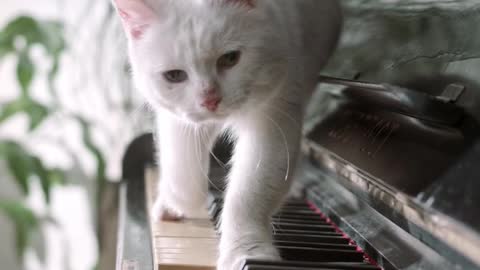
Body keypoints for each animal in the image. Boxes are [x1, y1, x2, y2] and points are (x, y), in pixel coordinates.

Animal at [111, 0, 342, 268]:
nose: (210, 100)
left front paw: (246, 253)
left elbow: (247, 195)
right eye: (174, 76)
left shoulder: (275, 117)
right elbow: (182, 171)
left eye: (230, 59)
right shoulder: (178, 120)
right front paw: (175, 205)